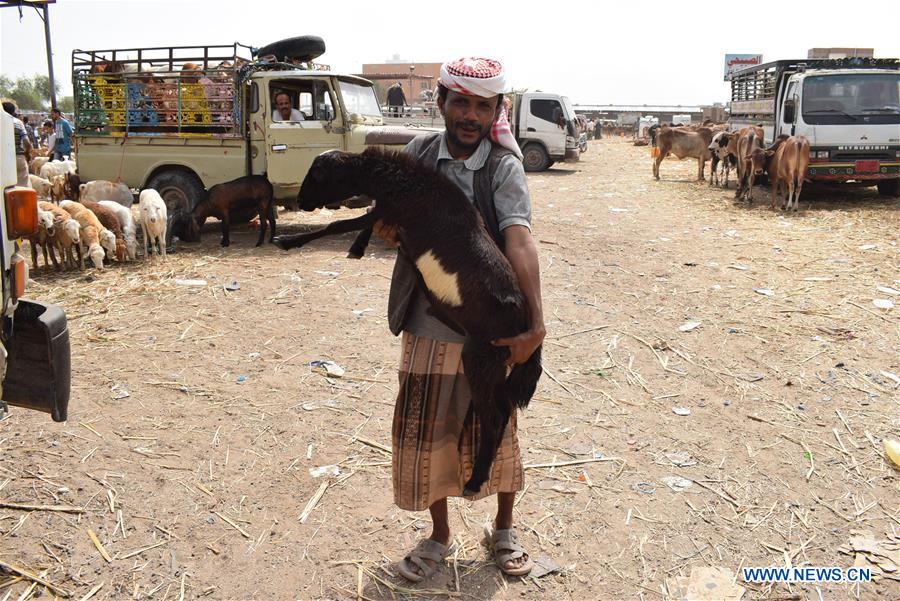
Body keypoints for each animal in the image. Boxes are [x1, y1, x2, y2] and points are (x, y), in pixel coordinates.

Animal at [272, 148, 540, 494]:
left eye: (318, 174)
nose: (301, 201)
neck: (405, 181)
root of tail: (523, 321)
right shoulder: (386, 212)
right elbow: (360, 224)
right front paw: (356, 248)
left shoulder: (391, 209)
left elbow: (337, 223)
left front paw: (286, 241)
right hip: (495, 362)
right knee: (505, 409)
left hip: (481, 356)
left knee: (493, 417)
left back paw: (475, 481)